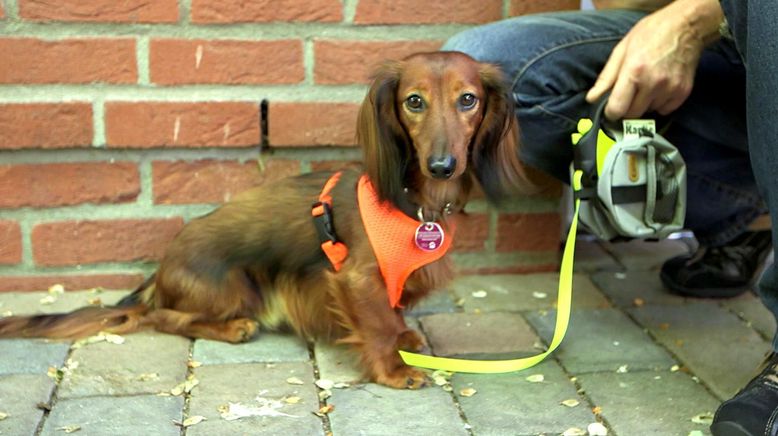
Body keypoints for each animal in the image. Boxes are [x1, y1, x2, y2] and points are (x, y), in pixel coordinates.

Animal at [0, 51, 528, 388]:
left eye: (468, 99)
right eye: (413, 101)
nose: (442, 165)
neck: (416, 204)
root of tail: (161, 270)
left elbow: (393, 313)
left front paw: (406, 339)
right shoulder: (355, 277)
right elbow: (377, 321)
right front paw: (394, 370)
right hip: (233, 287)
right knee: (163, 317)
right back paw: (233, 328)